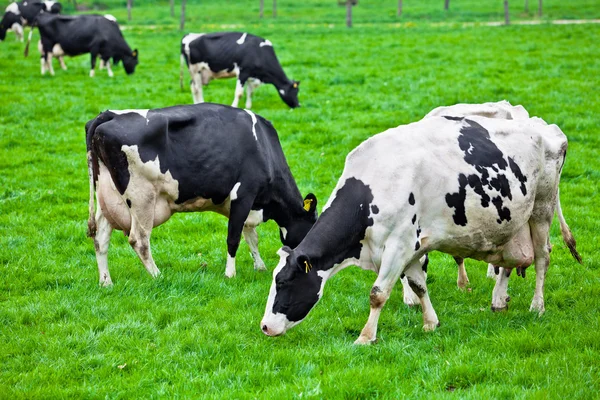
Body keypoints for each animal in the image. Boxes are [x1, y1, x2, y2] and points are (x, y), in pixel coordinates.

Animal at [86, 103, 318, 284]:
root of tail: (109, 114)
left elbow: (251, 236)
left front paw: (259, 266)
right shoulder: (243, 194)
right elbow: (234, 237)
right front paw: (230, 274)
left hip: (108, 197)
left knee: (100, 238)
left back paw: (106, 282)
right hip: (141, 197)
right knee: (139, 240)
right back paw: (158, 275)